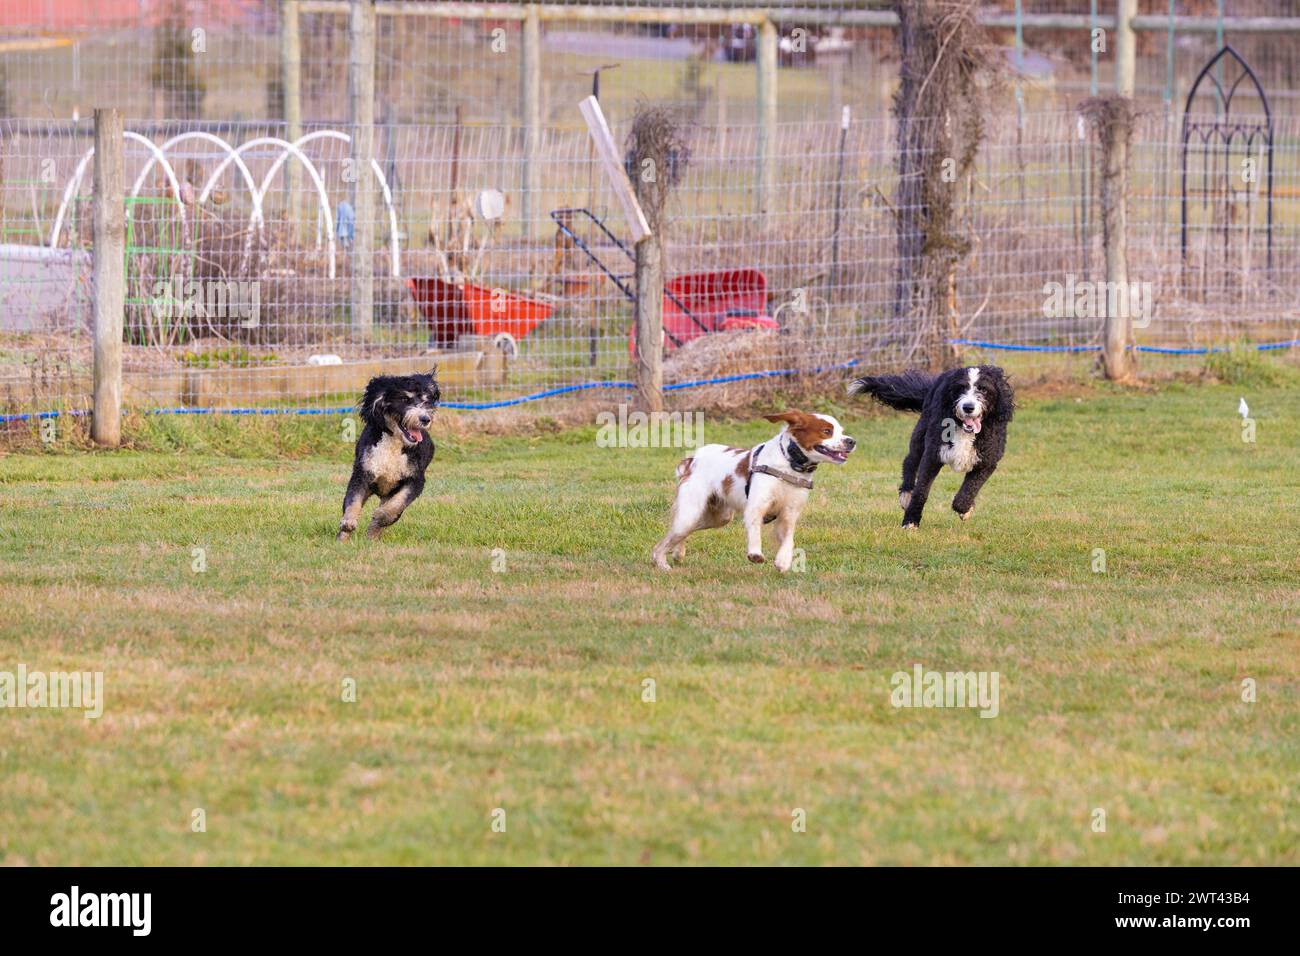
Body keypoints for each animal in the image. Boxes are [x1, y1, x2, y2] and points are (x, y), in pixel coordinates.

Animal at [335, 371, 441, 541]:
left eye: (426, 401)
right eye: (404, 399)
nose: (425, 419)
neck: (394, 443)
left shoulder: (416, 480)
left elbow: (397, 504)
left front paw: (381, 515)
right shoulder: (362, 473)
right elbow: (353, 500)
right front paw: (348, 521)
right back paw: (343, 539)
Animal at [847, 366, 1019, 530]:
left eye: (983, 389)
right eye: (961, 388)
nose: (968, 407)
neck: (963, 430)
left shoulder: (987, 462)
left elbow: (967, 492)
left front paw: (967, 509)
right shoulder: (932, 455)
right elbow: (921, 491)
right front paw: (910, 521)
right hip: (920, 435)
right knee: (909, 461)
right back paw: (906, 494)